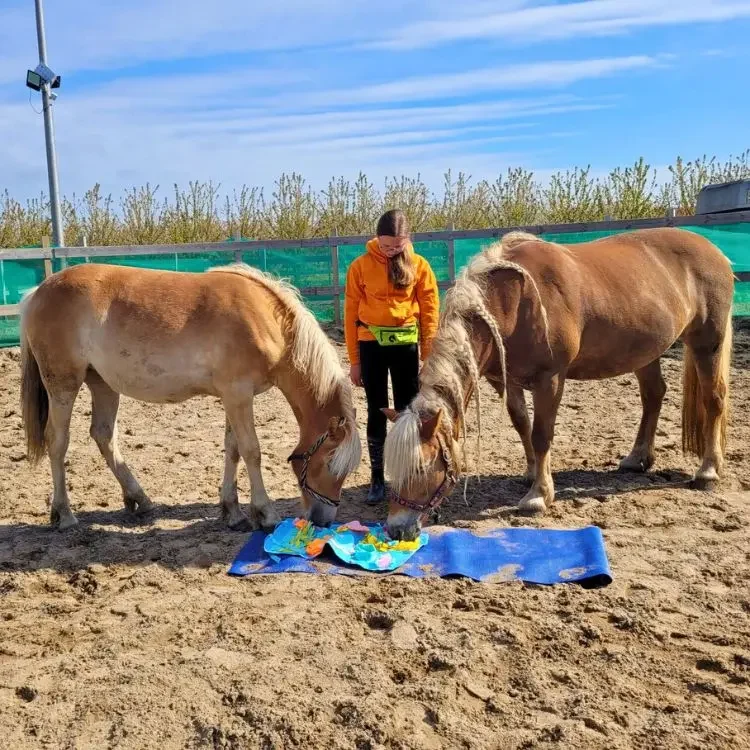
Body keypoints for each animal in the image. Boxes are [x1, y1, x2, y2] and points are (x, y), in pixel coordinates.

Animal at [19, 262, 361, 531]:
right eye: (328, 464)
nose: (324, 520)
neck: (264, 319)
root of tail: (38, 291)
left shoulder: (234, 396)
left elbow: (232, 449)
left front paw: (232, 511)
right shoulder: (238, 394)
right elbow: (251, 451)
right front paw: (265, 513)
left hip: (102, 384)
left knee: (103, 435)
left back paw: (139, 498)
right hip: (63, 385)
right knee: (57, 441)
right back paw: (64, 514)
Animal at [382, 227, 735, 541]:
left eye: (421, 469)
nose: (396, 529)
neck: (512, 301)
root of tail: (715, 251)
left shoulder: (549, 379)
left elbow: (541, 434)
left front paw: (539, 495)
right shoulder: (505, 380)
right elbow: (521, 423)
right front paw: (531, 473)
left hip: (707, 343)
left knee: (713, 399)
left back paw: (708, 471)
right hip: (647, 351)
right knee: (653, 395)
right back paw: (638, 458)